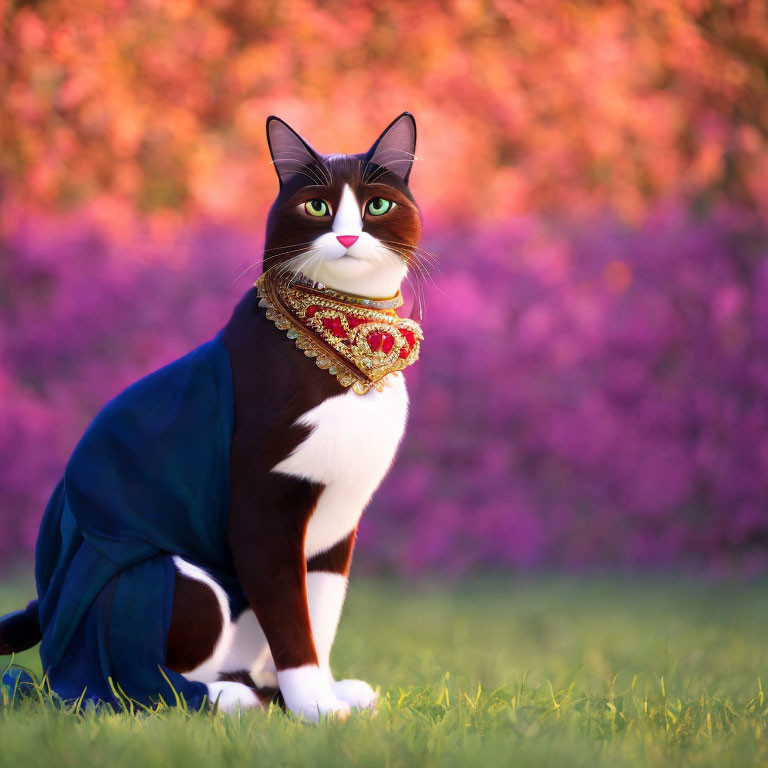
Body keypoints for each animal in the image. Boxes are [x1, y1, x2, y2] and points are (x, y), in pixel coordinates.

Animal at [0, 112, 424, 720]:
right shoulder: (262, 508)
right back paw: (229, 695)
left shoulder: (339, 519)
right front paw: (313, 709)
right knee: (133, 684)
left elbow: (319, 613)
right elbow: (290, 618)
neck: (344, 349)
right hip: (170, 579)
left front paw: (323, 693)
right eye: (317, 206)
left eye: (378, 205)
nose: (347, 236)